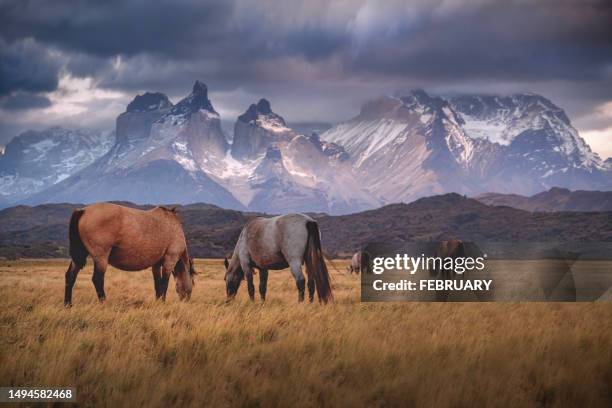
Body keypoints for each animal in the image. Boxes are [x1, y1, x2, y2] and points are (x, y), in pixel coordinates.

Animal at [65, 203, 195, 306]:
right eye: (192, 284)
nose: (187, 300)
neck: (173, 226)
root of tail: (83, 210)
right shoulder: (169, 261)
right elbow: (164, 284)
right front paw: (162, 303)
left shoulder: (156, 265)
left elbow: (157, 284)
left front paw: (158, 302)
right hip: (100, 258)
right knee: (97, 279)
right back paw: (104, 303)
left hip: (79, 257)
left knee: (70, 276)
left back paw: (68, 305)